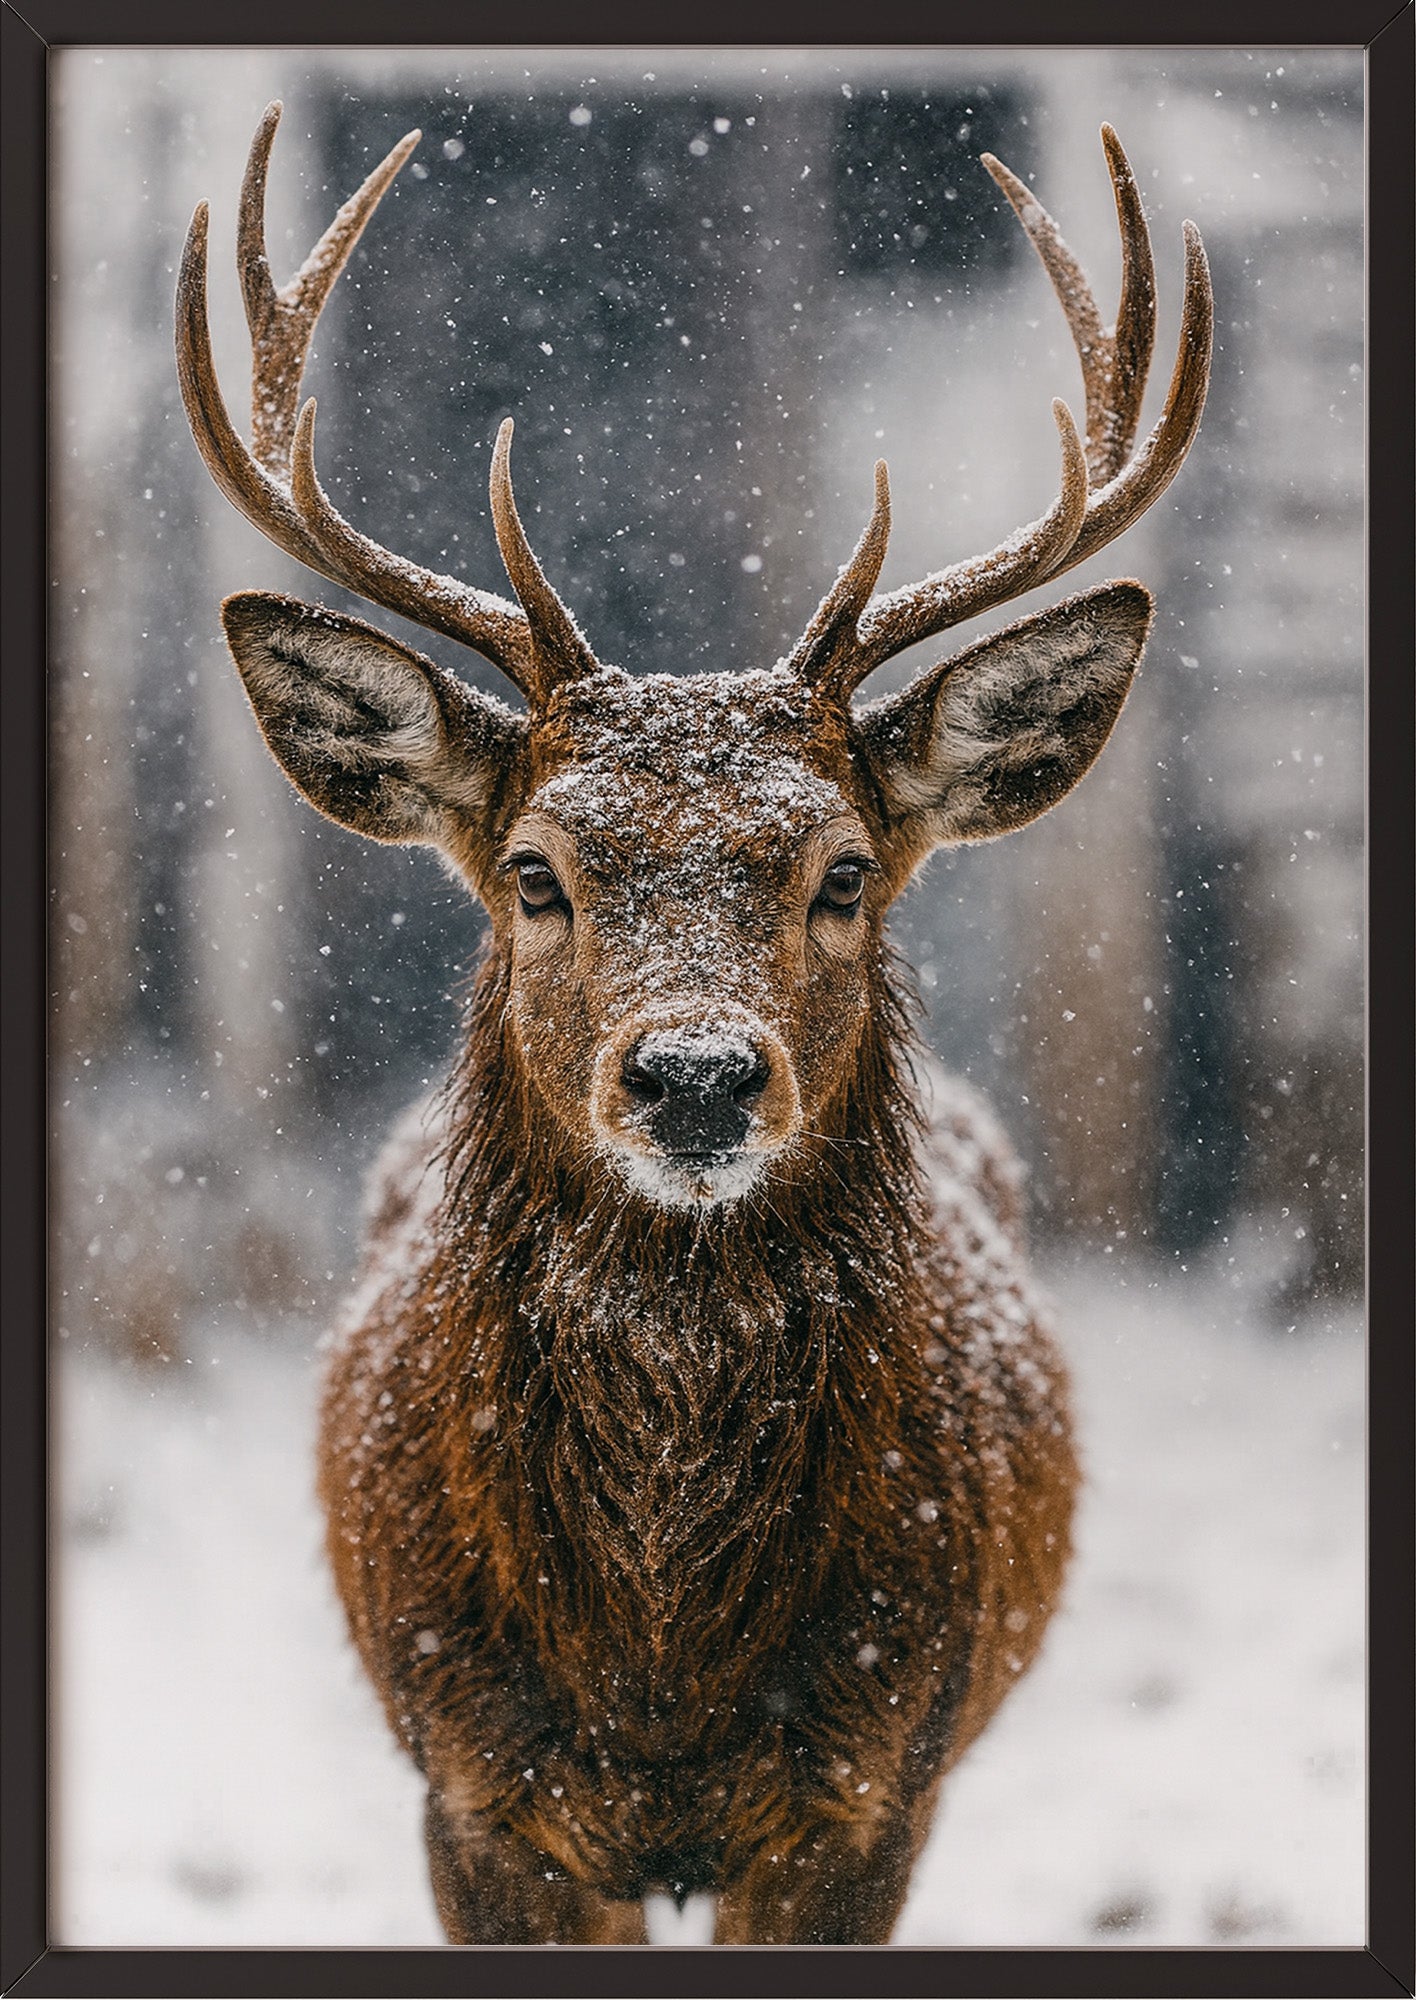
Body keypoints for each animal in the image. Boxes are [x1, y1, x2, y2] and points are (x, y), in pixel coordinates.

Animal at [175, 102, 1210, 1946]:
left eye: (844, 869)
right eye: (536, 869)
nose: (698, 1076)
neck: (659, 1669)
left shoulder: (871, 1780)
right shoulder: (475, 1784)